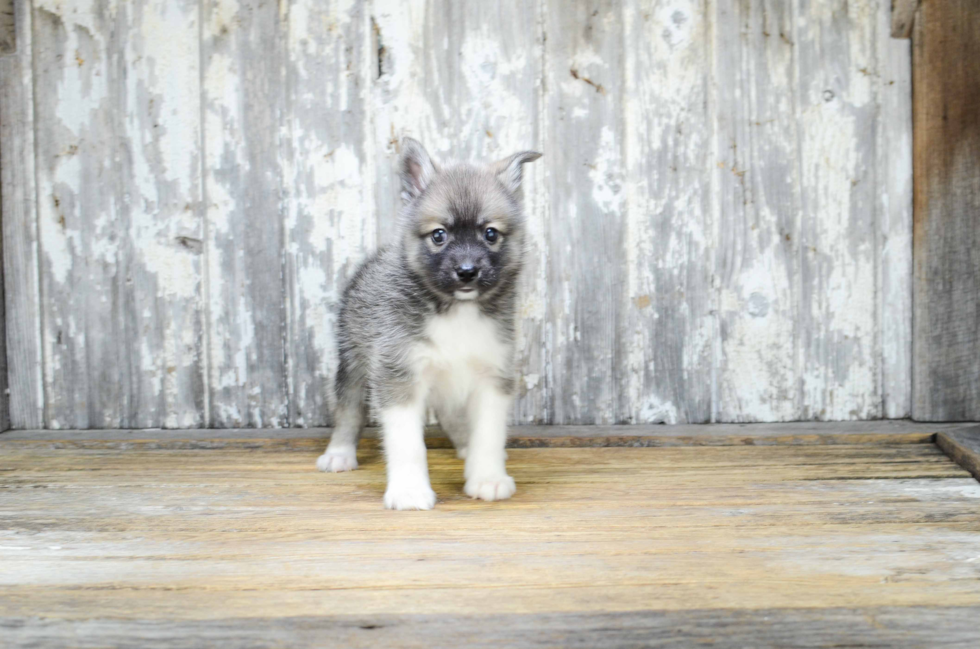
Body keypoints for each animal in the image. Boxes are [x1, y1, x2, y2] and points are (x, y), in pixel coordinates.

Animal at [316, 138, 540, 512]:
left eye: (490, 233)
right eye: (439, 235)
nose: (467, 272)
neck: (455, 310)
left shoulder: (492, 376)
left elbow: (488, 434)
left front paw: (487, 477)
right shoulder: (398, 375)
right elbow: (407, 443)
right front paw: (409, 491)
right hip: (354, 363)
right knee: (348, 409)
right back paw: (339, 453)